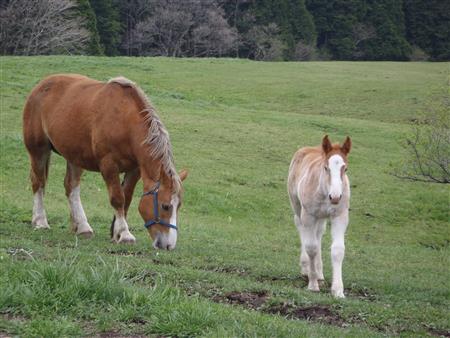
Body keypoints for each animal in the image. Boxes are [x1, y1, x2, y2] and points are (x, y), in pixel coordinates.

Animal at [22, 74, 188, 250]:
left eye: (178, 206)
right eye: (165, 206)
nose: (169, 245)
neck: (125, 122)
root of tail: (41, 86)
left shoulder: (135, 169)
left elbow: (127, 199)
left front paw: (116, 233)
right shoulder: (109, 166)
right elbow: (118, 199)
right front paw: (125, 234)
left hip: (74, 155)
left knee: (71, 187)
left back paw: (82, 226)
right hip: (38, 150)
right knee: (38, 183)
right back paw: (40, 221)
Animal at [288, 135, 352, 298]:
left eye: (345, 168)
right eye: (326, 168)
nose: (335, 197)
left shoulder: (340, 216)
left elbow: (337, 250)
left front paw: (338, 291)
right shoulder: (309, 215)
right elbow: (311, 247)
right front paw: (312, 284)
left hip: (321, 217)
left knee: (319, 234)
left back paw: (320, 275)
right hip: (298, 207)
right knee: (302, 229)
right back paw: (307, 270)